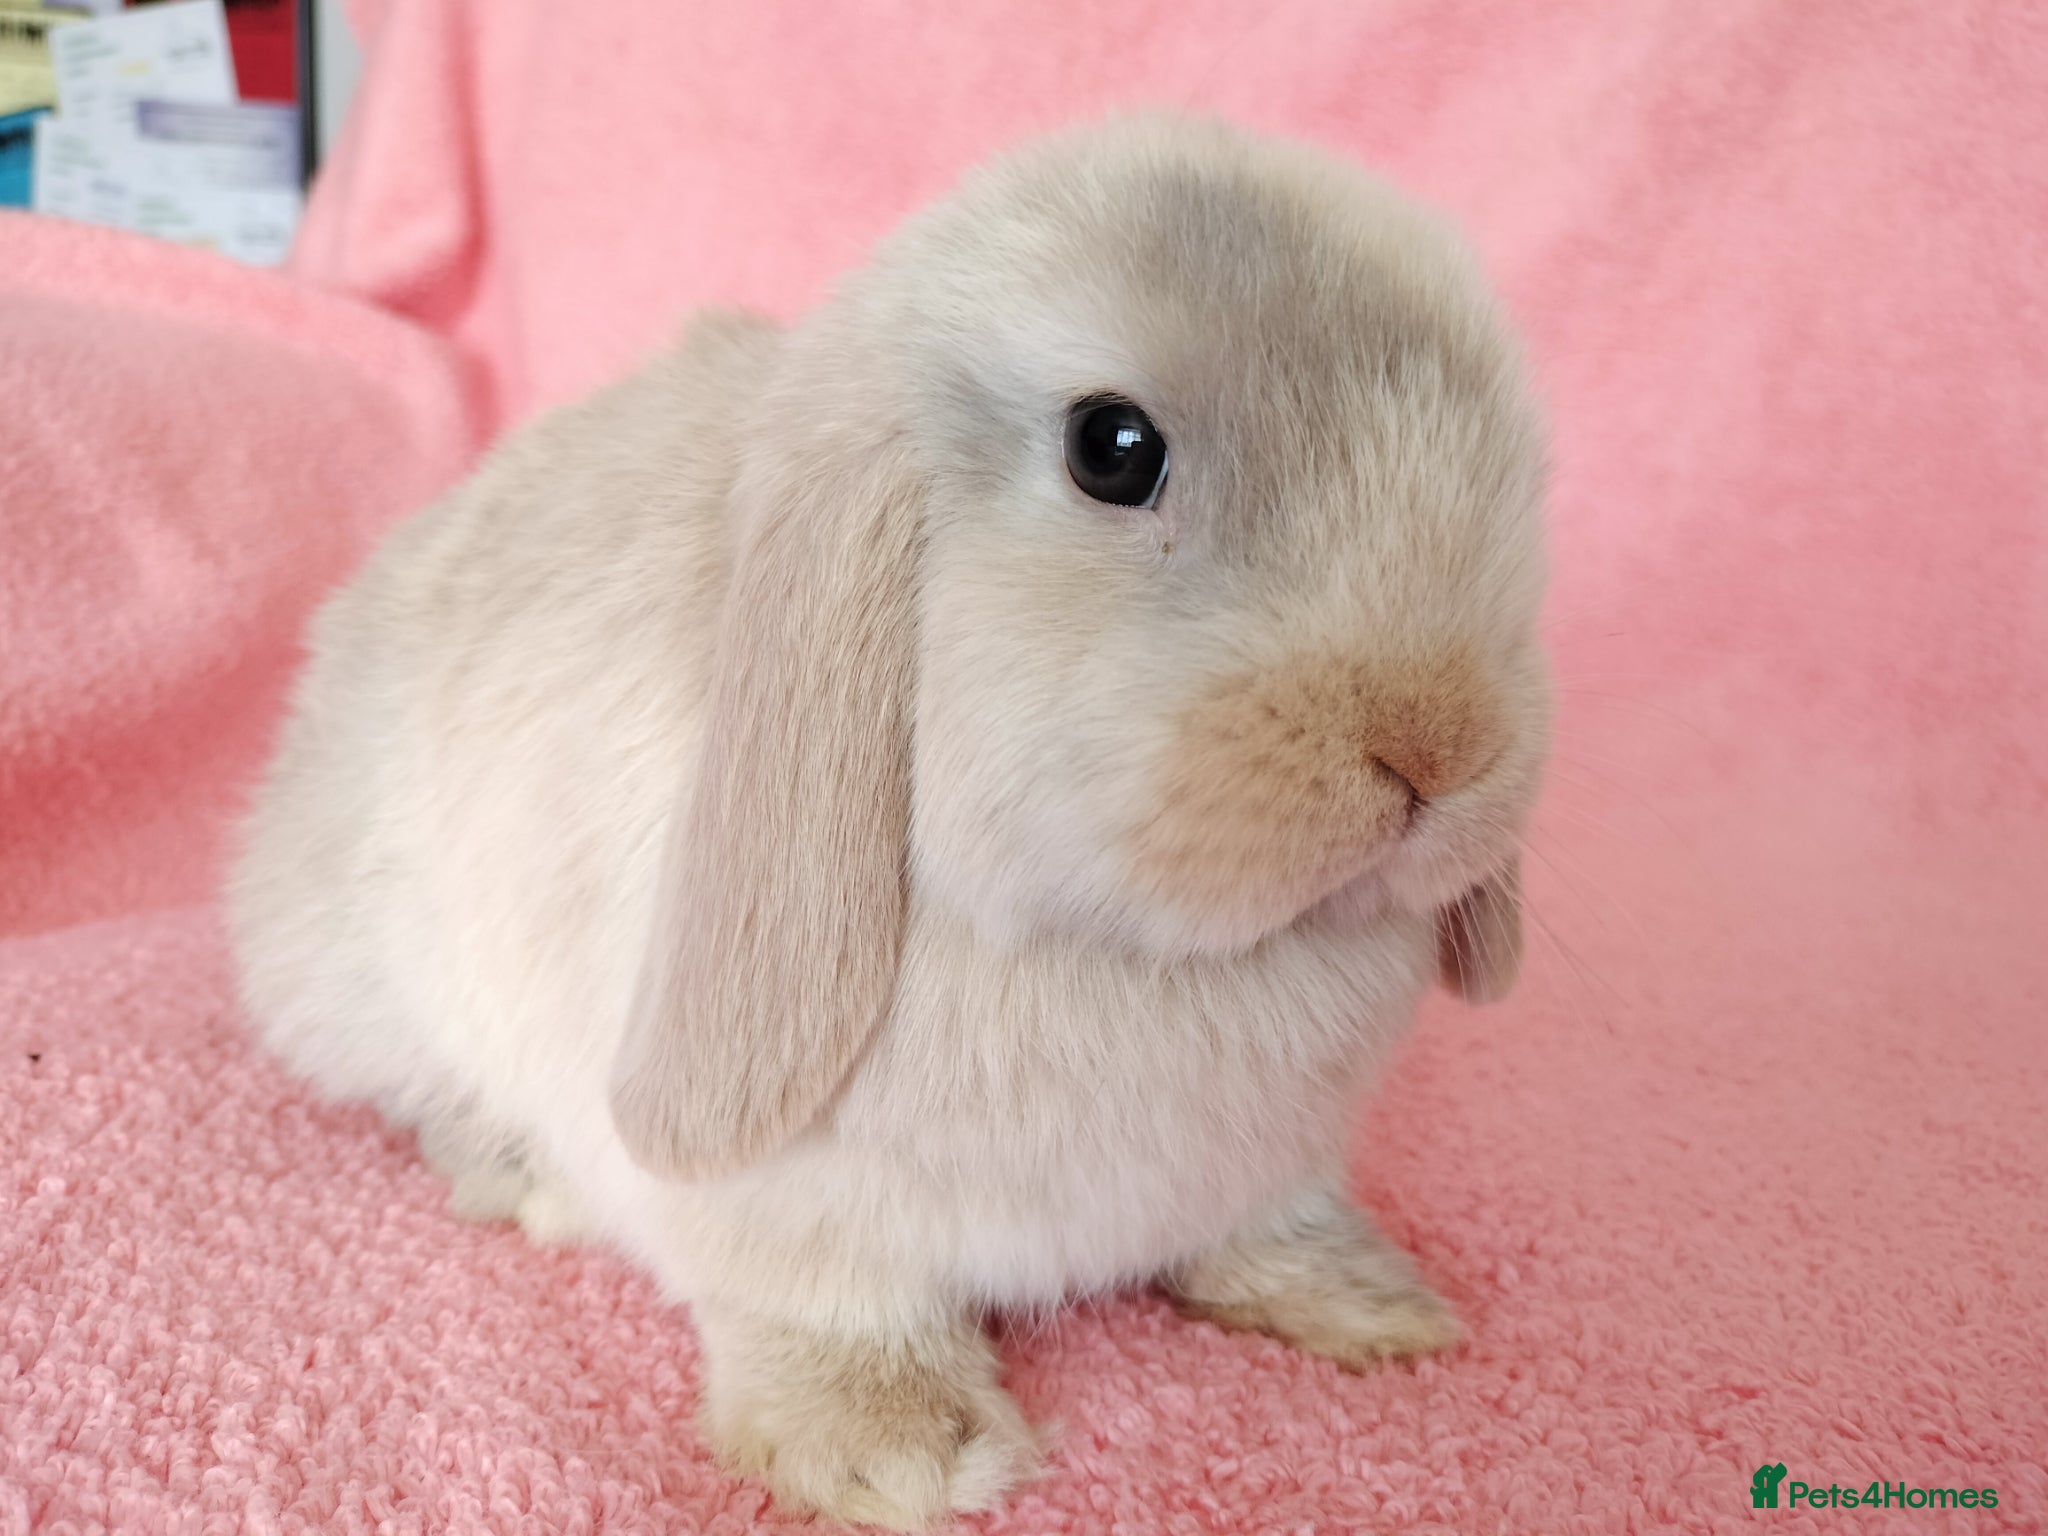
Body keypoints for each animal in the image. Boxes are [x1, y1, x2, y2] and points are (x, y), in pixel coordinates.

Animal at [227, 110, 1547, 1531]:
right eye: (1112, 450)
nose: (1436, 744)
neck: (1131, 954)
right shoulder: (780, 1213)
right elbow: (824, 1308)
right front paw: (899, 1453)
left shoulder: (1272, 1163)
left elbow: (1264, 1228)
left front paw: (1368, 1305)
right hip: (370, 988)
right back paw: (528, 1183)